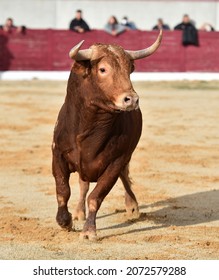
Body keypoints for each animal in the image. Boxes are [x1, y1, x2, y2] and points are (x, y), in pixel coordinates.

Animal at [52, 31, 162, 241]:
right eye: (103, 69)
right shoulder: (58, 155)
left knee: (124, 177)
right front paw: (65, 221)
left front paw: (89, 231)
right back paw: (78, 212)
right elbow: (63, 190)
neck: (89, 129)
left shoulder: (115, 162)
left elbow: (96, 197)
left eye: (129, 70)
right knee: (83, 185)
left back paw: (132, 207)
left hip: (126, 157)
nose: (131, 99)